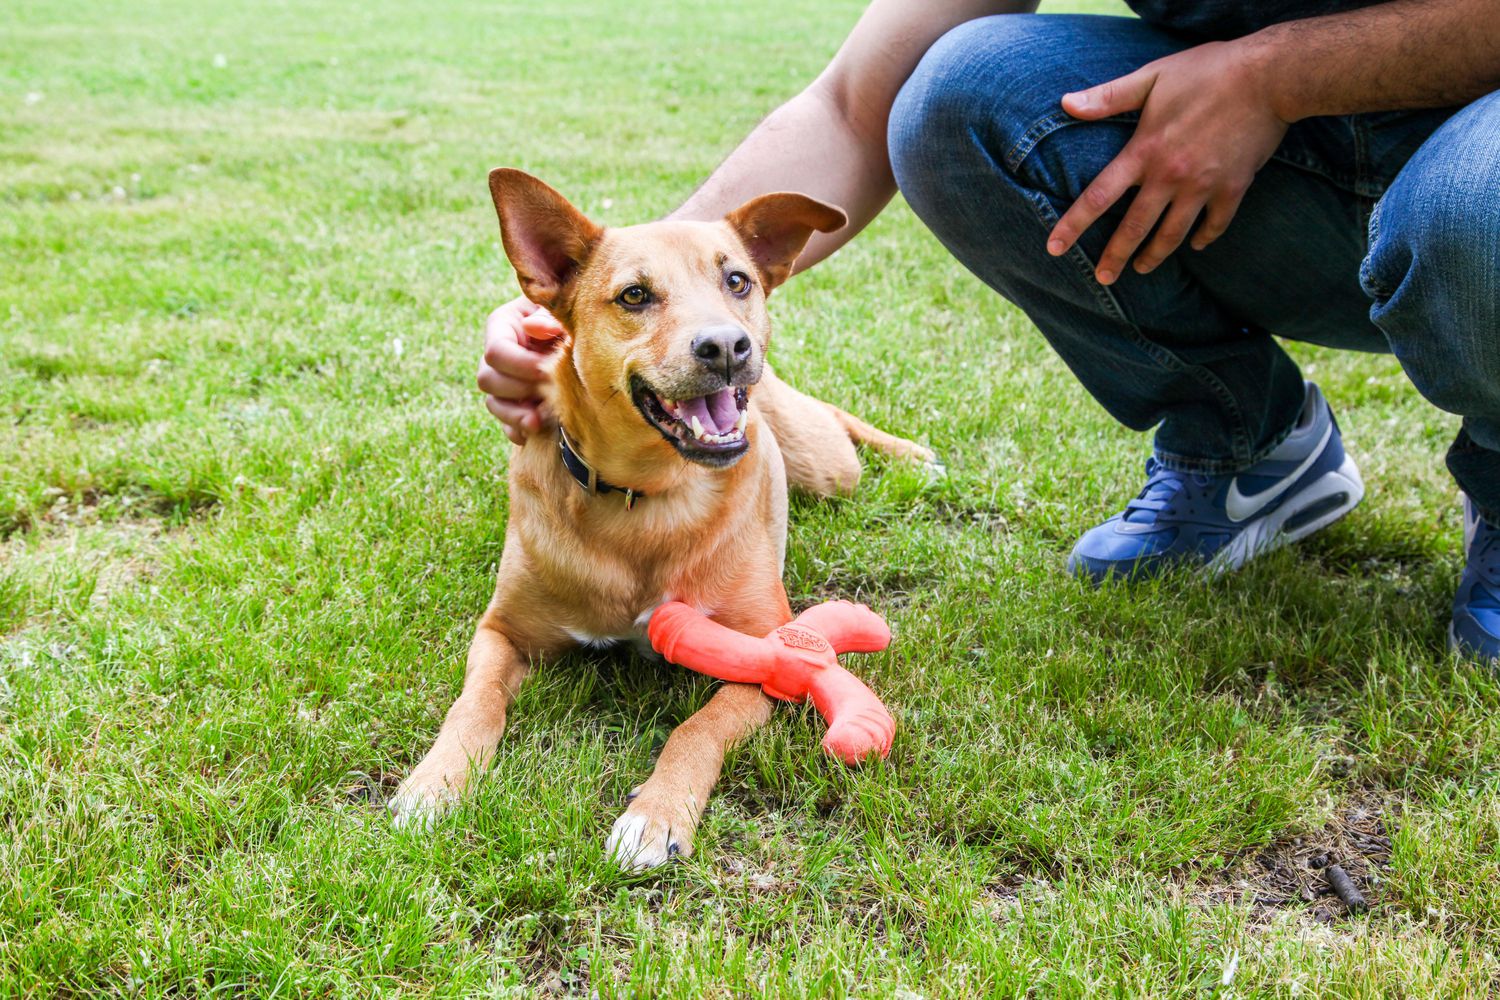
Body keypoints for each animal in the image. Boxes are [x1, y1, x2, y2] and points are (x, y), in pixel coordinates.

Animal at [387, 170, 924, 869]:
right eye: (635, 295)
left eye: (737, 280)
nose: (725, 345)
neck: (647, 495)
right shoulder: (501, 632)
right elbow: (472, 705)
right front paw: (437, 780)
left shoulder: (769, 651)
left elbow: (698, 727)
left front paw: (657, 813)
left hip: (827, 463)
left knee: (836, 419)